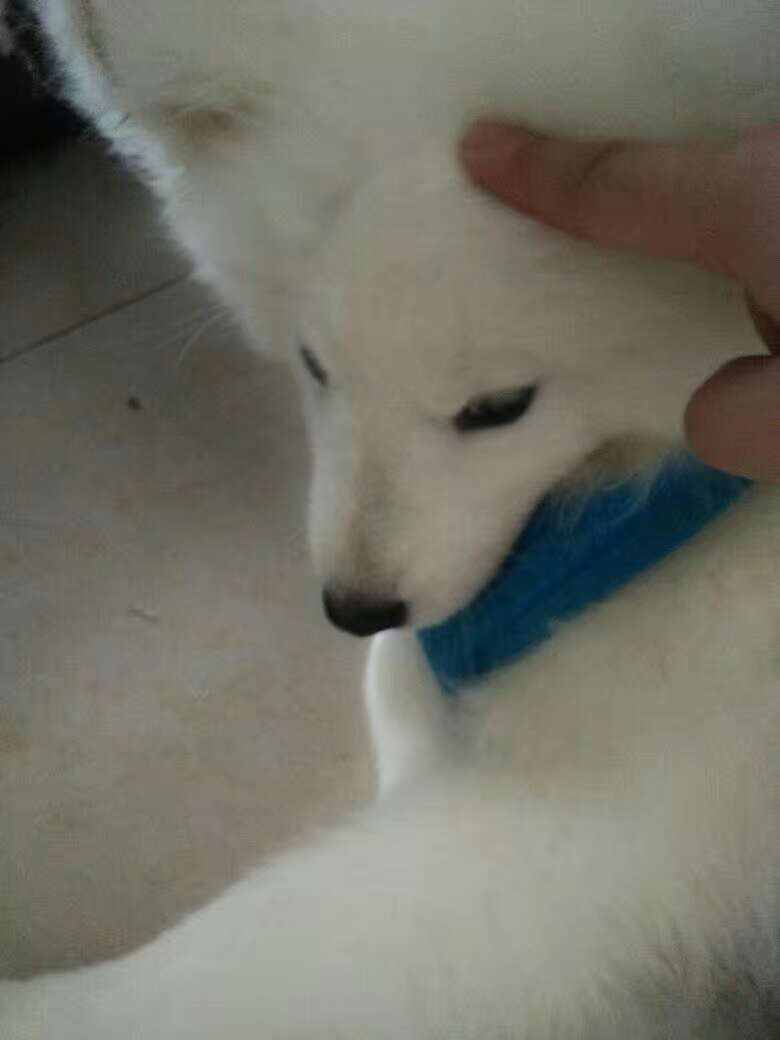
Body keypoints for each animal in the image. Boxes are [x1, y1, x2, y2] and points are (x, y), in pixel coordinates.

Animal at [2, 0, 780, 1035]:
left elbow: (239, 967)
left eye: (499, 406)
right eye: (313, 365)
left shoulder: (601, 820)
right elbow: (400, 688)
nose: (354, 606)